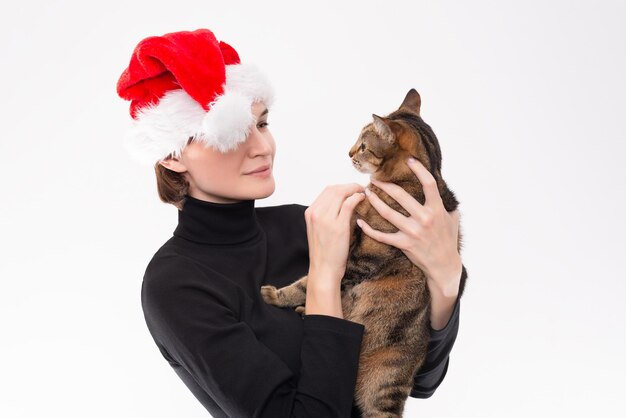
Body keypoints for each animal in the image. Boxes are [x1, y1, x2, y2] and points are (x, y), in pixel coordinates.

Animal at [258, 89, 464, 418]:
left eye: (364, 145)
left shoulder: (360, 257)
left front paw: (277, 296)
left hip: (382, 388)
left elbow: (306, 282)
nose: (348, 152)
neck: (419, 178)